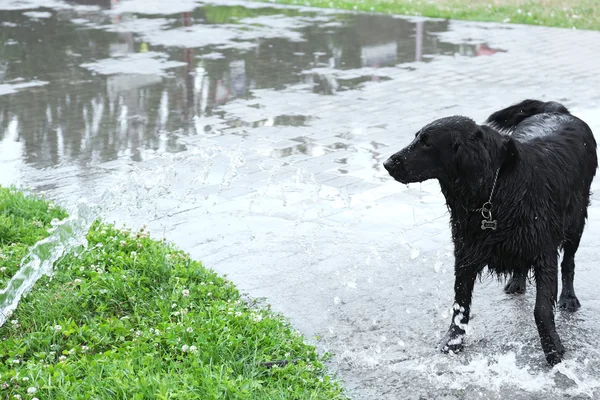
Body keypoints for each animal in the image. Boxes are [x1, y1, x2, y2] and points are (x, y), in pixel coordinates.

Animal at [384, 99, 596, 366]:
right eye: (417, 138)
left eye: (426, 142)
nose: (387, 163)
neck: (492, 192)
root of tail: (556, 109)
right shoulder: (465, 251)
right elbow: (460, 305)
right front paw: (452, 341)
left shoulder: (544, 252)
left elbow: (542, 309)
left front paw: (553, 350)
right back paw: (516, 281)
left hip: (575, 220)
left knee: (569, 261)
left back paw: (568, 298)